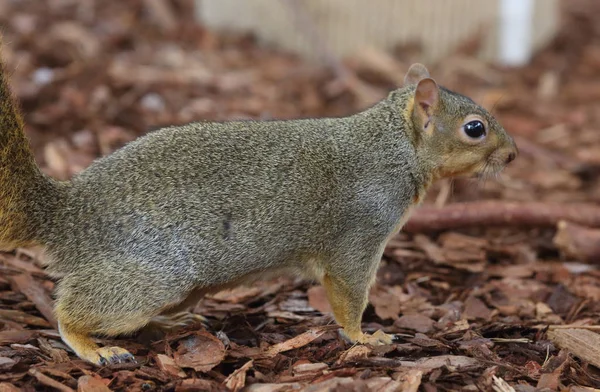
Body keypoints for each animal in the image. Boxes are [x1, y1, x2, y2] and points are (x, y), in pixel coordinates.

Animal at [0, 39, 516, 364]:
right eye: (474, 128)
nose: (513, 154)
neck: (391, 148)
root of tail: (68, 216)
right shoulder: (359, 232)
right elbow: (349, 292)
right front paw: (365, 337)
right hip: (152, 274)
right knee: (73, 309)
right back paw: (92, 346)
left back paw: (169, 325)